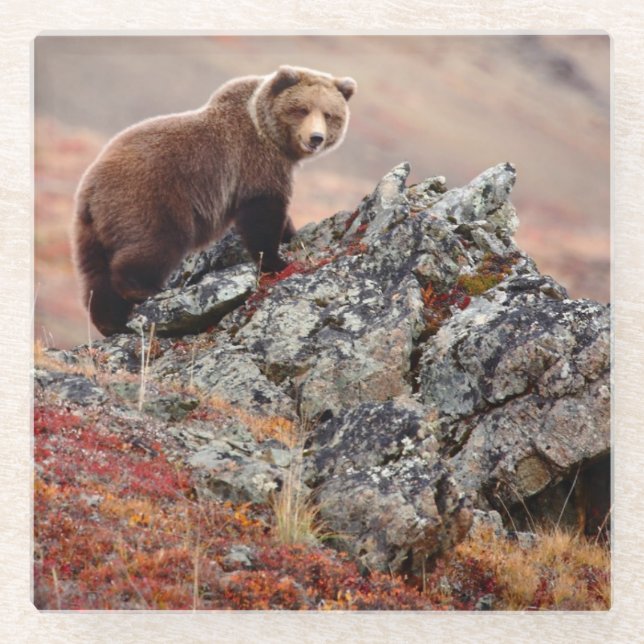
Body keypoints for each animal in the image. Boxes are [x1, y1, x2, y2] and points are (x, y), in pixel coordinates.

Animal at [73, 65, 357, 336]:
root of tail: (90, 188)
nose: (316, 138)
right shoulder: (254, 164)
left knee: (96, 275)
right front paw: (278, 261)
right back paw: (144, 291)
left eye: (329, 114)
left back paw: (110, 322)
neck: (272, 138)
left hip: (91, 229)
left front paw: (290, 236)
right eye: (302, 109)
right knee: (155, 244)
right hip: (149, 200)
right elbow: (262, 215)